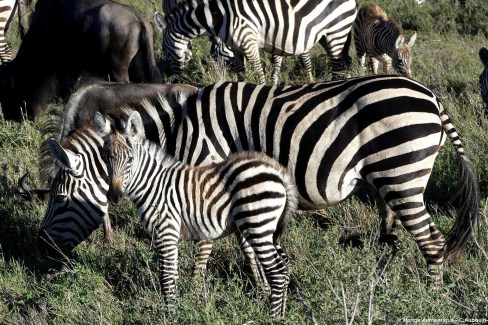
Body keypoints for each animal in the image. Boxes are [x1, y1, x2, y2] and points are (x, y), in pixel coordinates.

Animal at [39, 76, 480, 286]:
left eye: (60, 199)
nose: (41, 249)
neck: (185, 131)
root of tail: (432, 98)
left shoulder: (209, 172)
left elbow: (207, 241)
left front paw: (197, 288)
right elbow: (246, 241)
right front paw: (258, 283)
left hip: (401, 173)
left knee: (432, 242)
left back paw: (429, 297)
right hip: (398, 177)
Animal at [91, 110, 298, 316]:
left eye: (130, 159)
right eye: (105, 157)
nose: (114, 196)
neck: (153, 185)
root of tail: (279, 173)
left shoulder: (166, 230)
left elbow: (166, 276)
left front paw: (171, 315)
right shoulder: (166, 235)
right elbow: (173, 274)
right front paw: (180, 309)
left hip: (257, 224)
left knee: (277, 271)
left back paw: (273, 317)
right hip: (268, 228)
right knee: (285, 266)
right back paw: (282, 315)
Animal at [162, 0, 356, 85]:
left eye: (165, 51)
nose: (174, 80)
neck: (218, 17)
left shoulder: (249, 43)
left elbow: (258, 74)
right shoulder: (237, 48)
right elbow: (241, 72)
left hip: (336, 32)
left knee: (337, 67)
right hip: (326, 36)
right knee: (344, 63)